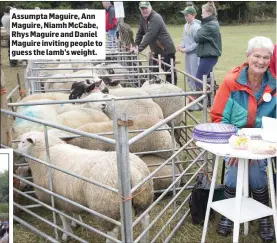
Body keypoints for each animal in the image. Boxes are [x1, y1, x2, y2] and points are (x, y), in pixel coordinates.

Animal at [17, 131, 153, 243]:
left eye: (23, 142)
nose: (16, 152)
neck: (44, 152)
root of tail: (132, 170)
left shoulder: (56, 197)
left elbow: (64, 218)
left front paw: (66, 234)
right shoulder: (68, 196)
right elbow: (73, 212)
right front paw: (76, 223)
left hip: (105, 206)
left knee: (112, 232)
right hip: (143, 197)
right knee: (145, 220)